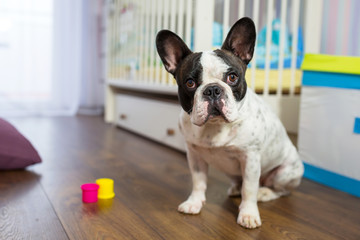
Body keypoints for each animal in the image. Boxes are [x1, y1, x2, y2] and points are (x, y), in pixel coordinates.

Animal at [155, 17, 304, 229]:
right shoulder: (194, 156)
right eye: (190, 83)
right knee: (240, 182)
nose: (212, 89)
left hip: (284, 173)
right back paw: (235, 188)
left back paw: (265, 192)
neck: (215, 127)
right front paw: (194, 203)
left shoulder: (250, 159)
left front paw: (248, 214)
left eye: (232, 77)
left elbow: (249, 189)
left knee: (281, 190)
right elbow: (198, 182)